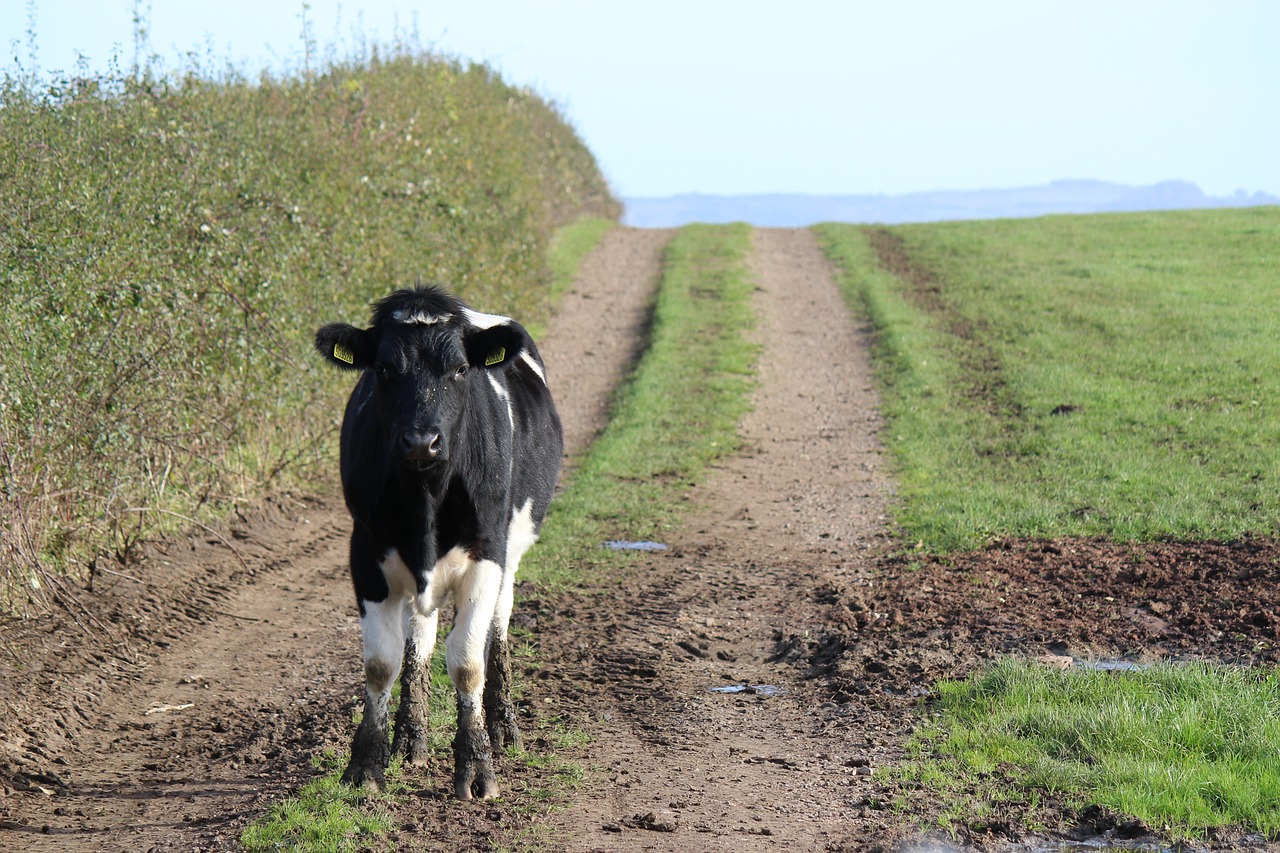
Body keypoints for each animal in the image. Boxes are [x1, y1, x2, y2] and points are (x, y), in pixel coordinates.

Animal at [314, 285, 563, 799]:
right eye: (383, 370)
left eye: (461, 370)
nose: (420, 442)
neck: (424, 498)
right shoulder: (365, 554)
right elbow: (382, 662)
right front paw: (367, 764)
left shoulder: (487, 554)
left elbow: (467, 662)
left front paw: (477, 767)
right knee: (420, 636)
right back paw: (412, 738)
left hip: (511, 551)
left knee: (498, 626)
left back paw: (504, 727)